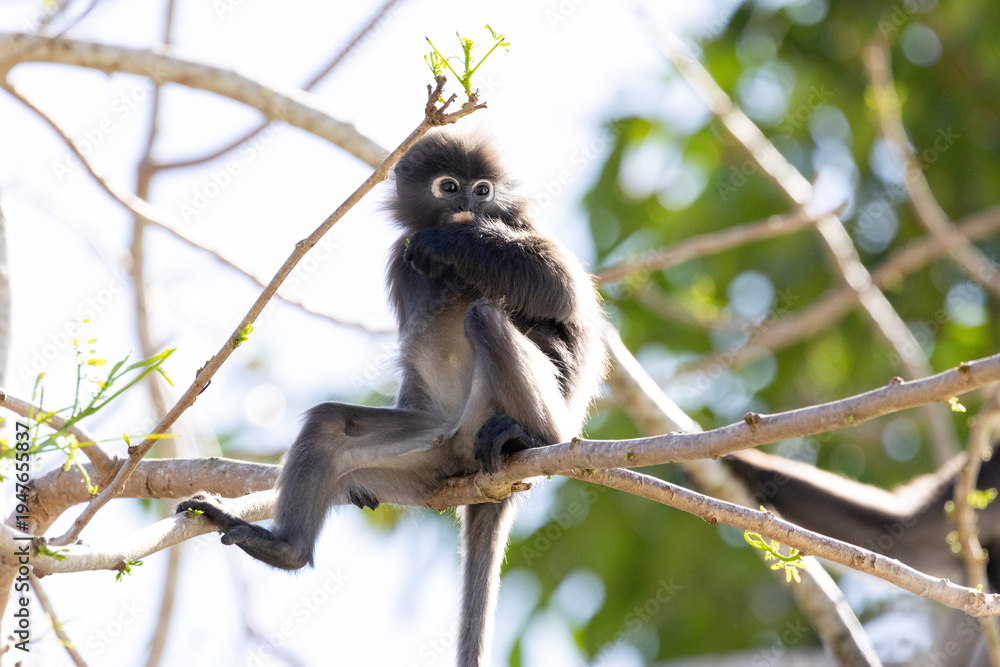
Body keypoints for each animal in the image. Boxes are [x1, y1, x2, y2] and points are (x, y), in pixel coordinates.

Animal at [177, 130, 606, 666]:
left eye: (482, 190)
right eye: (449, 187)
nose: (466, 207)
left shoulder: (518, 221)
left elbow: (563, 294)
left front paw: (451, 243)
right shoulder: (397, 265)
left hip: (516, 418)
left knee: (485, 316)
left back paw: (529, 437)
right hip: (431, 454)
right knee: (328, 425)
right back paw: (284, 549)